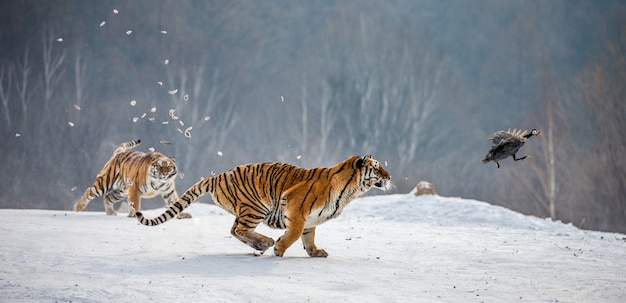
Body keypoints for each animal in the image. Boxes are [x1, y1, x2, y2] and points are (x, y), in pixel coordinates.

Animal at [136, 156, 390, 258]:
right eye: (377, 168)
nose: (389, 176)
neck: (350, 190)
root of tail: (218, 176)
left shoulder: (311, 218)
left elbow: (308, 237)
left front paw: (315, 252)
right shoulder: (296, 206)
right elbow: (294, 233)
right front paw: (279, 248)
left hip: (247, 210)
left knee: (234, 230)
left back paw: (260, 245)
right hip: (256, 206)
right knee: (239, 229)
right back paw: (267, 242)